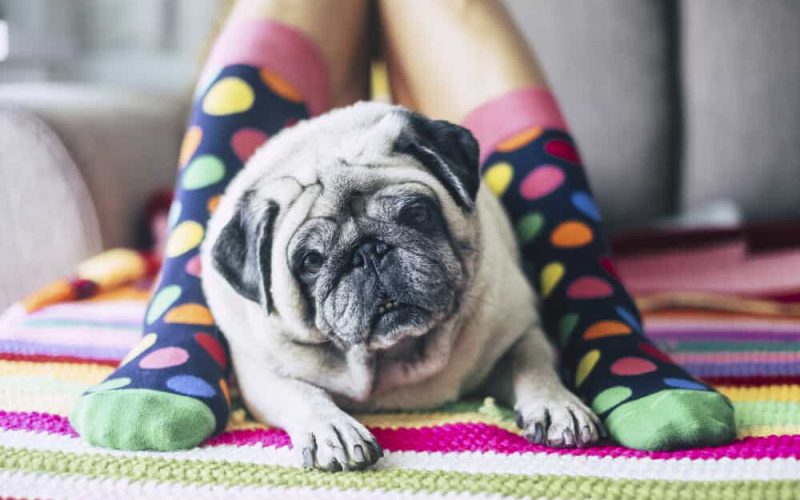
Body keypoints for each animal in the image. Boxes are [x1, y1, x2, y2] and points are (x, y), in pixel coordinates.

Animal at [200, 102, 600, 472]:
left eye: (417, 215)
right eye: (311, 261)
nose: (368, 252)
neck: (395, 358)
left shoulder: (517, 332)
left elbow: (532, 362)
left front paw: (556, 405)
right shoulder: (261, 375)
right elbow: (300, 391)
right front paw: (332, 429)